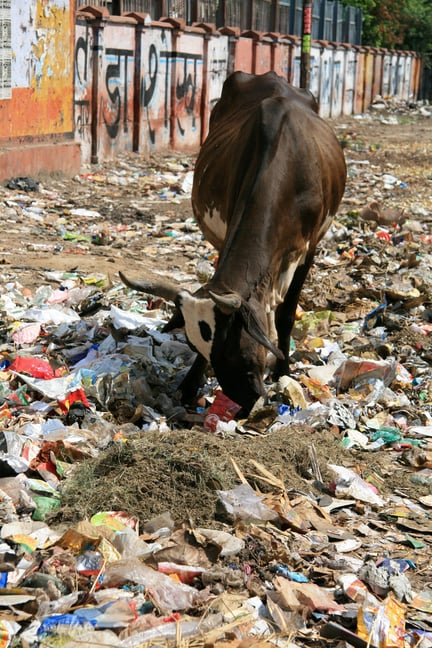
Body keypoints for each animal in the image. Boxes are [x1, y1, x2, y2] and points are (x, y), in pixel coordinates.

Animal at [119, 71, 348, 416]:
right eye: (197, 346)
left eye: (233, 347)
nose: (245, 400)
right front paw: (190, 383)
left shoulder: (309, 249)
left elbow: (286, 315)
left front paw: (283, 373)